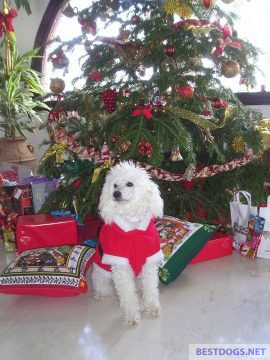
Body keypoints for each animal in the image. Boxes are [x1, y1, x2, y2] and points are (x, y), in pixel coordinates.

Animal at [92, 162, 163, 324]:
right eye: (115, 185)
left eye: (130, 184)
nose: (116, 194)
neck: (133, 224)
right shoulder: (120, 264)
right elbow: (128, 296)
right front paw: (131, 316)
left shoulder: (149, 260)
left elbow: (150, 287)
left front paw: (152, 307)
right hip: (101, 273)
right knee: (103, 286)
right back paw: (101, 294)